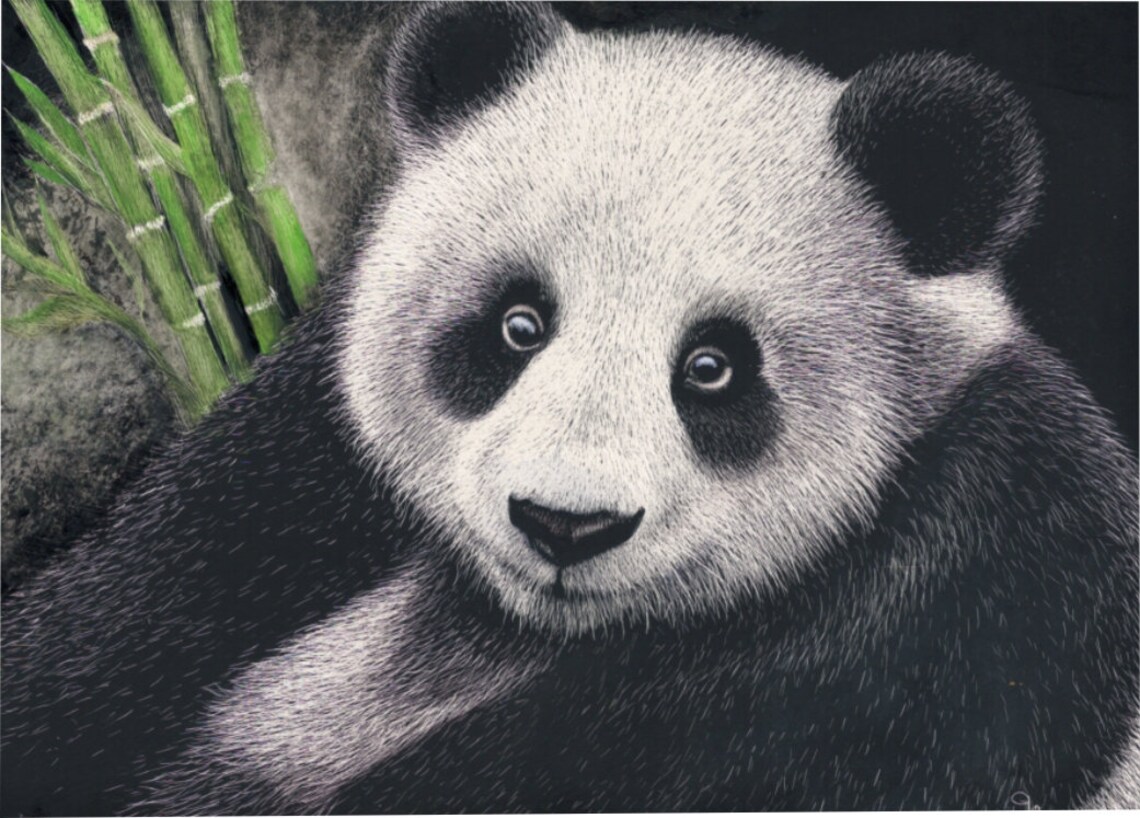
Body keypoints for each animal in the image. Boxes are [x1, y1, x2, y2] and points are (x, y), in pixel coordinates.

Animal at [2, 3, 1137, 813]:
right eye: (518, 323)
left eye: (713, 367)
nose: (564, 524)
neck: (513, 628)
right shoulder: (285, 472)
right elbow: (103, 634)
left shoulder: (962, 595)